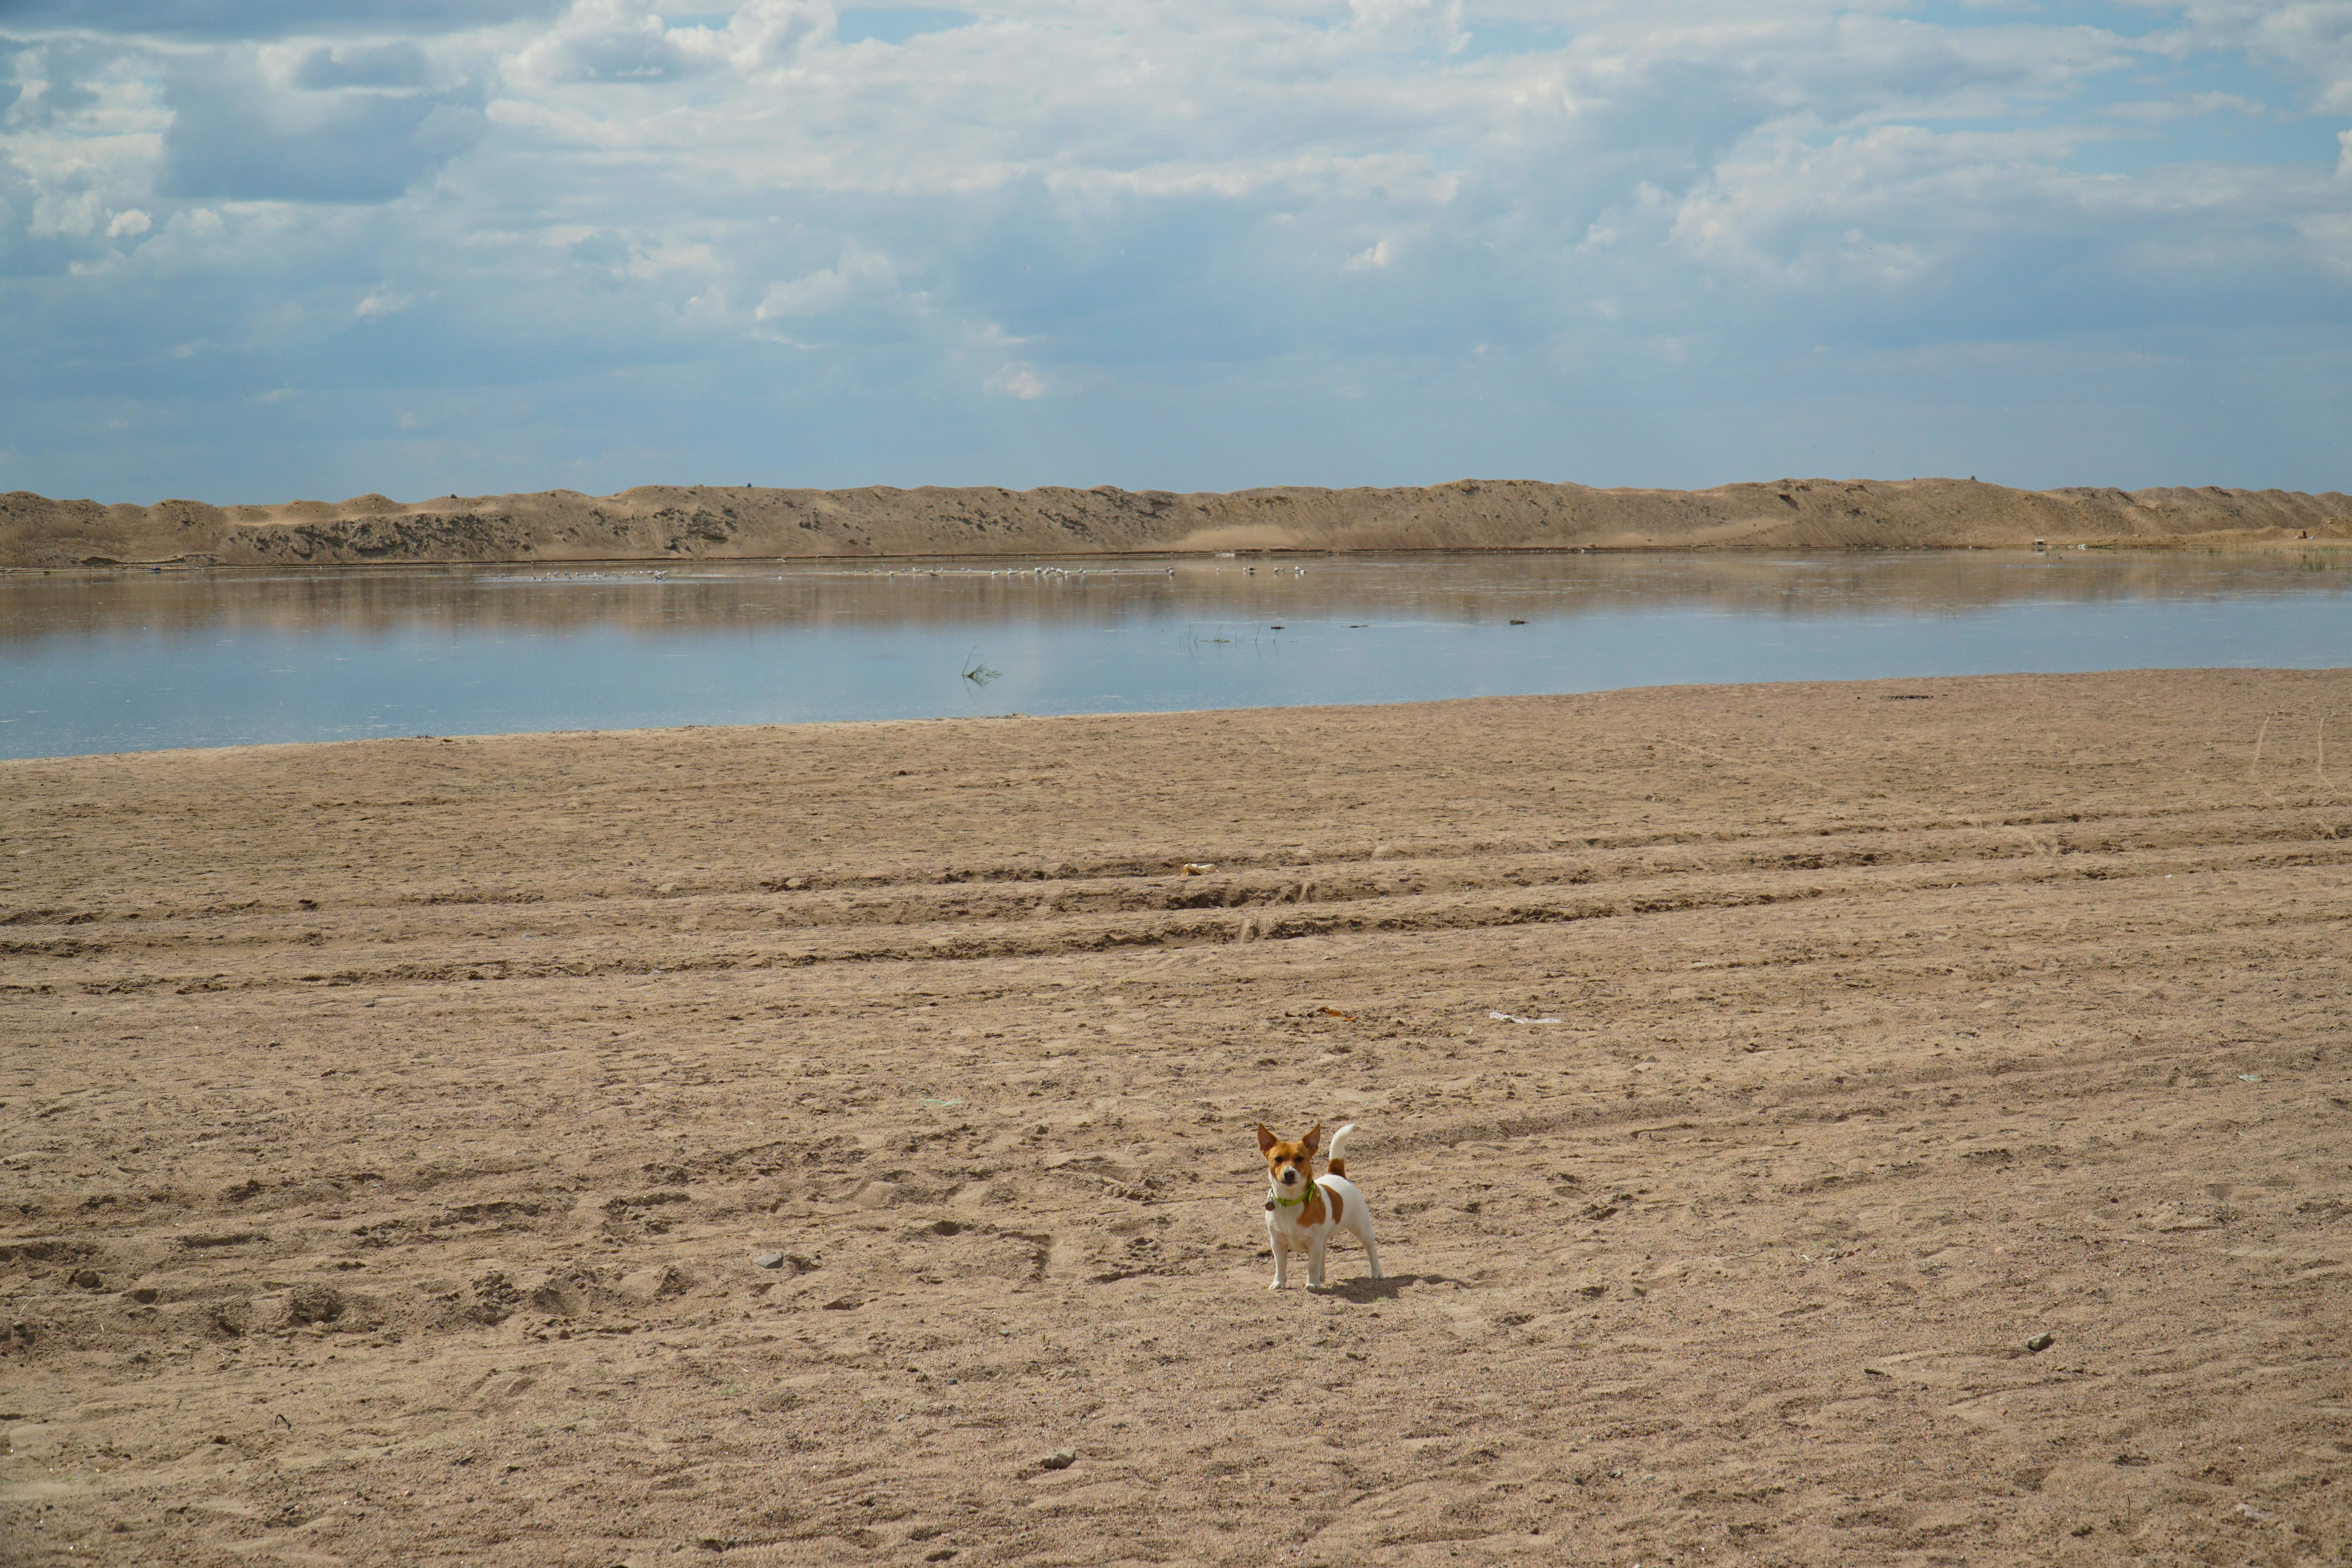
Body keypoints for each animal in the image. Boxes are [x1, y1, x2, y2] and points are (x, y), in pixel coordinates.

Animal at [1261, 1123, 1383, 1298]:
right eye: (1278, 1159)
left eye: (1300, 1158)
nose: (1289, 1173)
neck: (1291, 1201)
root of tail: (1337, 1174)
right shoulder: (1277, 1243)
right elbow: (1281, 1265)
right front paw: (1279, 1283)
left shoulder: (1314, 1242)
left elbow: (1312, 1265)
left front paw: (1312, 1284)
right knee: (1324, 1251)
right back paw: (1321, 1275)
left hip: (1363, 1230)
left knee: (1372, 1251)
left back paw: (1376, 1273)